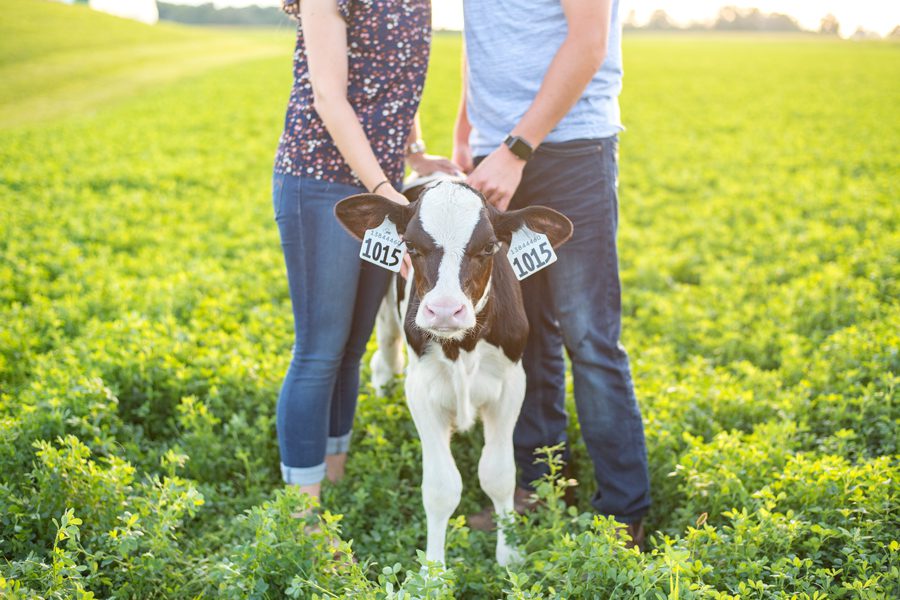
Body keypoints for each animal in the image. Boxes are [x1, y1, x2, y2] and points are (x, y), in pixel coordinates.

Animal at [334, 180, 572, 564]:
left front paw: (510, 554)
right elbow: (441, 487)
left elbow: (499, 474)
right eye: (410, 246)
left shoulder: (510, 386)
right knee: (385, 360)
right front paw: (433, 569)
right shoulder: (422, 392)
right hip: (385, 316)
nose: (445, 310)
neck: (462, 348)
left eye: (489, 247)